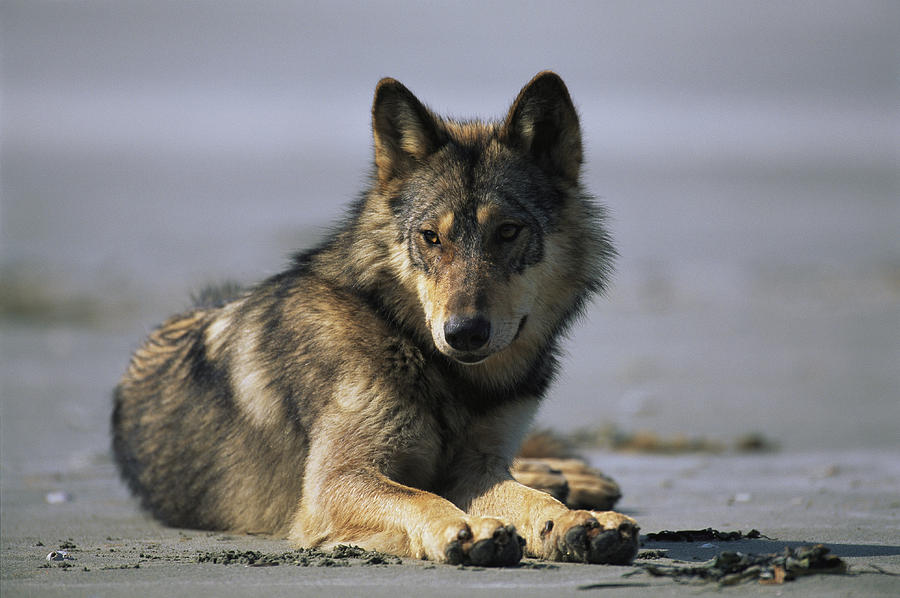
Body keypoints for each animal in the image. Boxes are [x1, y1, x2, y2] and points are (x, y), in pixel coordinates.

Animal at [110, 70, 632, 568]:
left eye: (507, 232)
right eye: (431, 237)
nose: (464, 333)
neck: (420, 352)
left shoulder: (478, 468)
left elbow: (532, 501)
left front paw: (576, 522)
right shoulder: (335, 479)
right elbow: (422, 497)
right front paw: (467, 528)